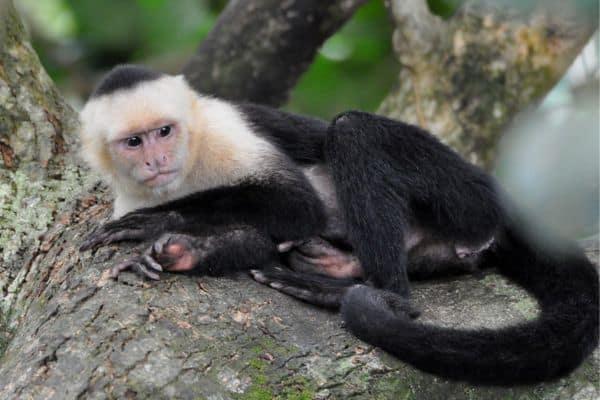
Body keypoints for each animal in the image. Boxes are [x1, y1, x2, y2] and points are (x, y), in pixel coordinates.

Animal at [77, 65, 596, 384]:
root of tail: (500, 204)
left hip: (467, 198)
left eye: (165, 131)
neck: (186, 173)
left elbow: (295, 203)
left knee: (351, 132)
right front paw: (174, 252)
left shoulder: (223, 133)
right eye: (134, 142)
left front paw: (154, 224)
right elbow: (257, 242)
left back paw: (381, 294)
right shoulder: (129, 191)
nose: (157, 160)